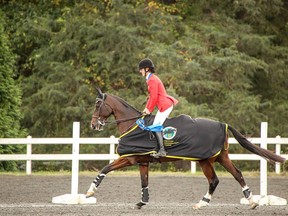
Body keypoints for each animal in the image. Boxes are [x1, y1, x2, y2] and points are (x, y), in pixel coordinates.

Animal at [85, 88, 286, 209]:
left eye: (97, 104)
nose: (94, 124)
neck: (133, 125)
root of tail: (223, 124)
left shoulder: (129, 158)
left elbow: (105, 168)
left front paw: (90, 191)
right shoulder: (142, 162)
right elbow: (144, 182)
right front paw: (142, 202)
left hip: (205, 160)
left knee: (214, 180)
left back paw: (202, 203)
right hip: (221, 157)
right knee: (237, 174)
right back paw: (251, 201)